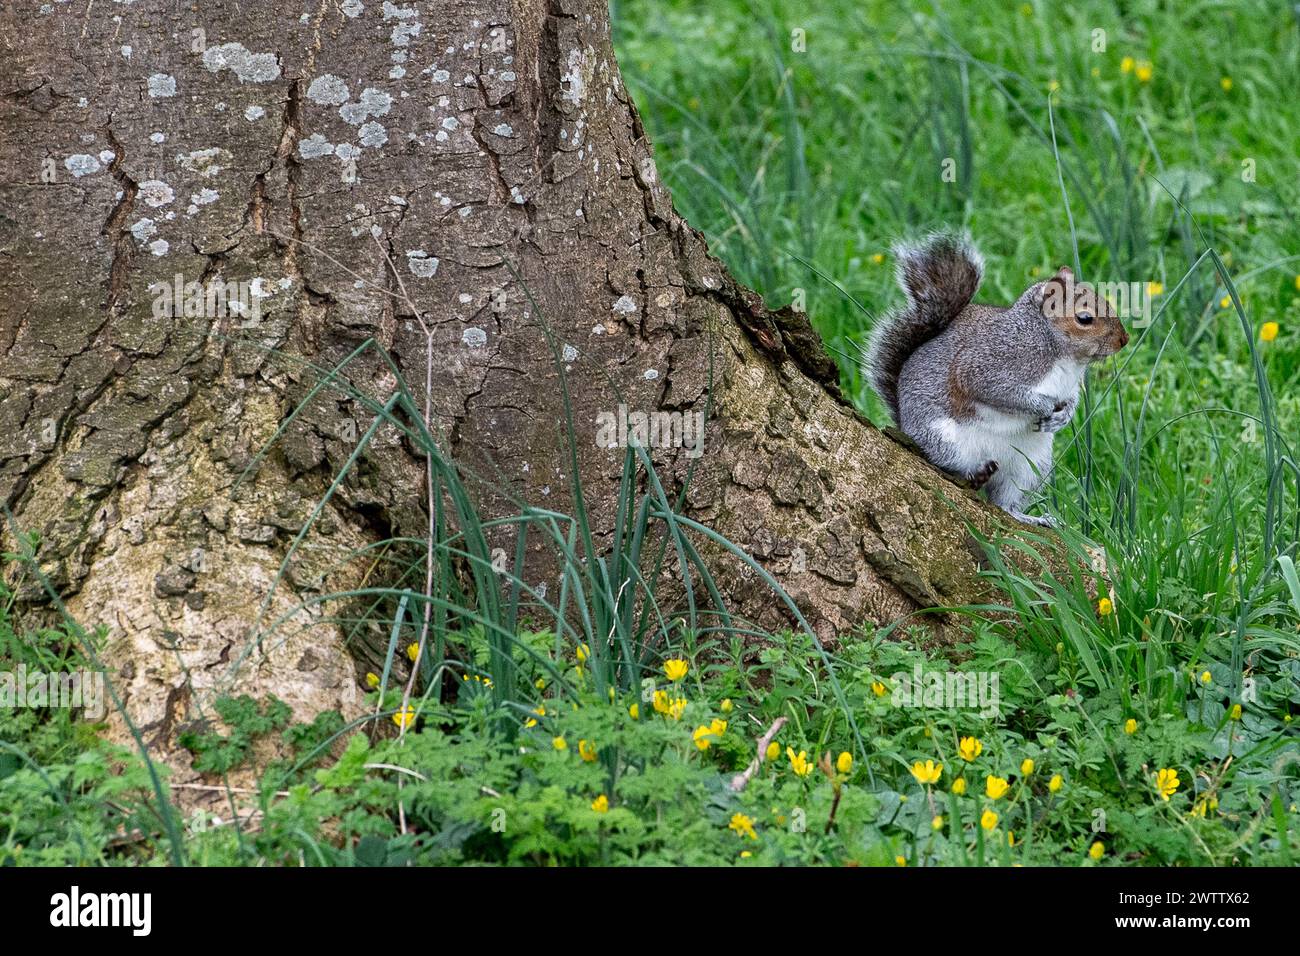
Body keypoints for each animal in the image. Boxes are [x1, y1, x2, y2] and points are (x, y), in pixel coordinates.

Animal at [873, 234, 1128, 528]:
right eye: (1084, 318)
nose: (1124, 340)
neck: (1063, 356)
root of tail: (905, 423)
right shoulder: (988, 366)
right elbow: (1001, 393)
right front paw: (1042, 407)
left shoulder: (1071, 385)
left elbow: (1071, 401)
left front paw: (1062, 418)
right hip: (945, 441)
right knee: (947, 463)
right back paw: (973, 474)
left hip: (1030, 466)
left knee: (1004, 501)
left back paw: (1031, 518)